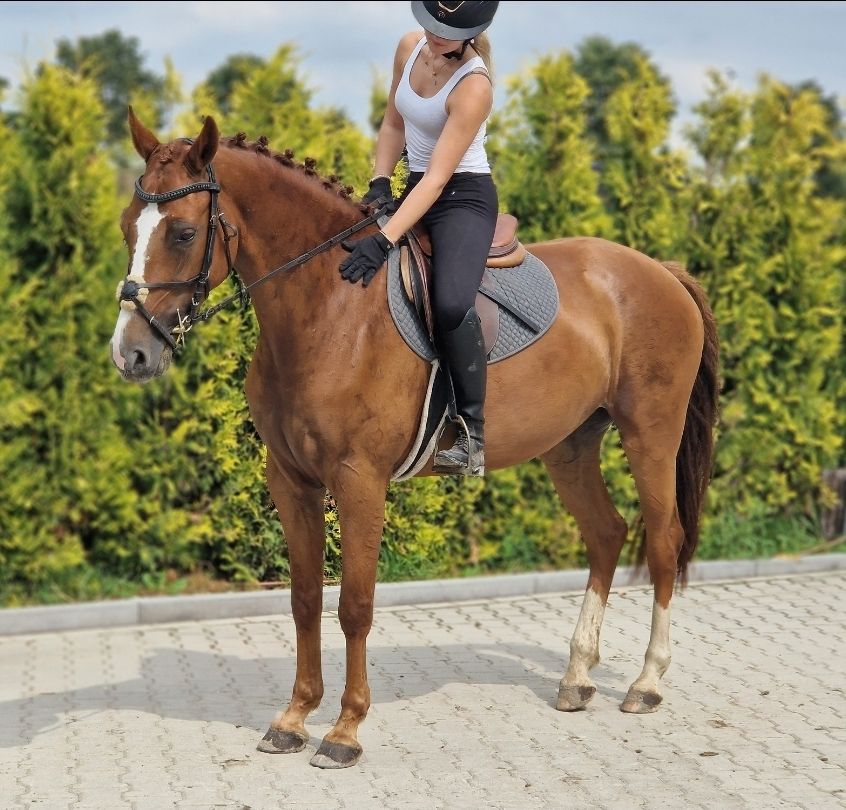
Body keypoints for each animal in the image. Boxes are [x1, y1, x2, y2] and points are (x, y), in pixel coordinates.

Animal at [110, 109, 720, 769]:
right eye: (126, 228)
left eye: (182, 234)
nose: (130, 355)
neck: (329, 305)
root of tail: (660, 271)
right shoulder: (291, 481)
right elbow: (304, 600)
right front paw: (294, 718)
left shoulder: (359, 481)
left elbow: (355, 605)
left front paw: (345, 730)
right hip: (571, 445)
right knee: (606, 534)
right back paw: (577, 677)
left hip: (650, 434)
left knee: (662, 541)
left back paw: (647, 683)